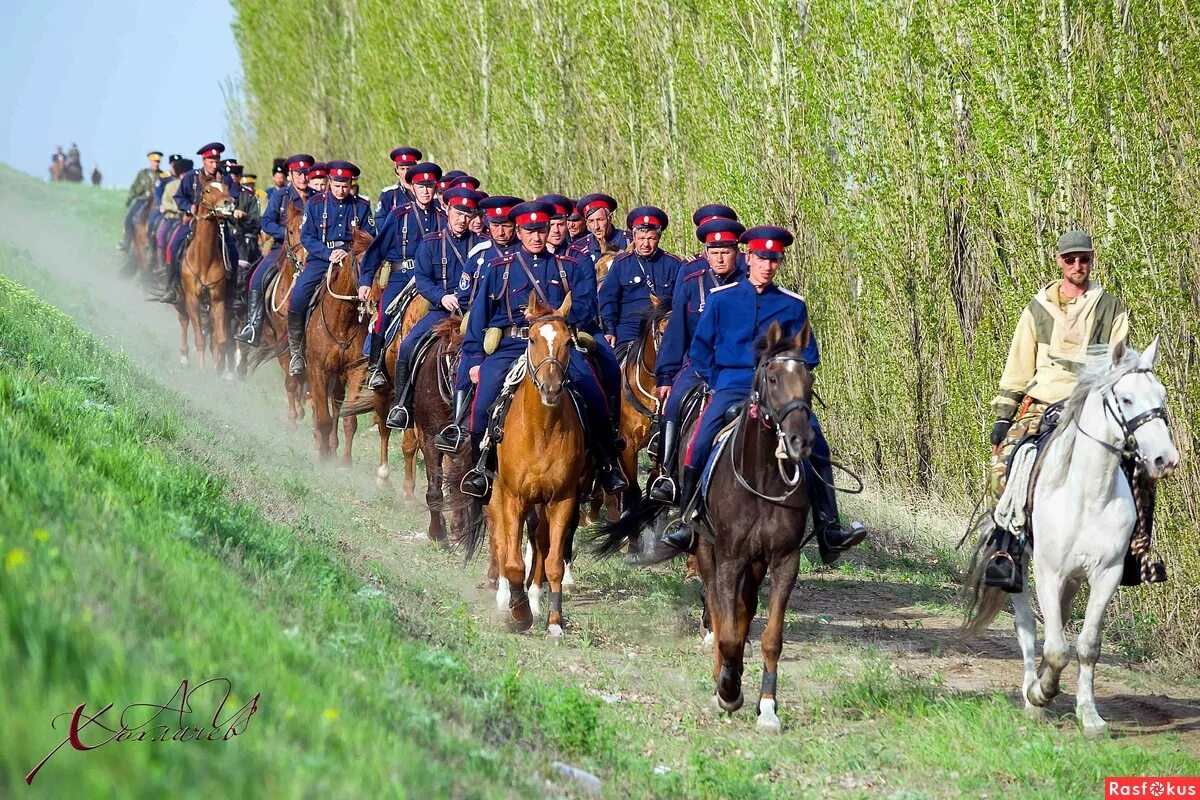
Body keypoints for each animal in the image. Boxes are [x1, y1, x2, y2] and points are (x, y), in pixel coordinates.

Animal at [175, 179, 235, 371]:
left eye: (227, 188)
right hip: (180, 299)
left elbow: (220, 339)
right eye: (208, 190)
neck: (204, 259)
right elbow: (199, 338)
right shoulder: (191, 298)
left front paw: (217, 368)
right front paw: (202, 370)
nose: (229, 202)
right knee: (184, 320)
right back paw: (184, 356)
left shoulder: (217, 300)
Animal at [302, 225, 372, 462]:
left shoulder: (356, 370)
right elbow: (322, 415)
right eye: (360, 262)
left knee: (336, 401)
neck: (342, 320)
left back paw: (333, 445)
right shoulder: (317, 368)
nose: (373, 296)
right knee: (319, 404)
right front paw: (323, 456)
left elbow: (349, 418)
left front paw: (345, 460)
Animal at [458, 293, 585, 638]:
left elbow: (553, 561)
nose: (551, 388)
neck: (541, 430)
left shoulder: (562, 500)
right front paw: (518, 611)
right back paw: (507, 598)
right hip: (496, 493)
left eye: (568, 341)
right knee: (501, 539)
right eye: (531, 339)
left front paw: (554, 621)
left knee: (539, 543)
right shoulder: (513, 497)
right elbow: (513, 560)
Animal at [597, 323, 816, 734]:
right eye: (772, 378)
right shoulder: (726, 555)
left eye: (808, 379)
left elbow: (768, 635)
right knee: (720, 604)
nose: (800, 440)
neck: (762, 478)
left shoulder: (783, 560)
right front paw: (727, 689)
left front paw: (768, 708)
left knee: (742, 608)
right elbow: (724, 622)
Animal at [960, 338, 1176, 738]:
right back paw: (1031, 693)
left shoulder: (1105, 575)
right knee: (1028, 627)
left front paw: (1089, 716)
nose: (1164, 459)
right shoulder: (1049, 572)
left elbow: (1087, 646)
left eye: (1161, 395)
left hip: (1075, 579)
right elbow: (1056, 647)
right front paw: (1040, 693)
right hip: (1019, 568)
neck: (1088, 493)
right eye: (1126, 399)